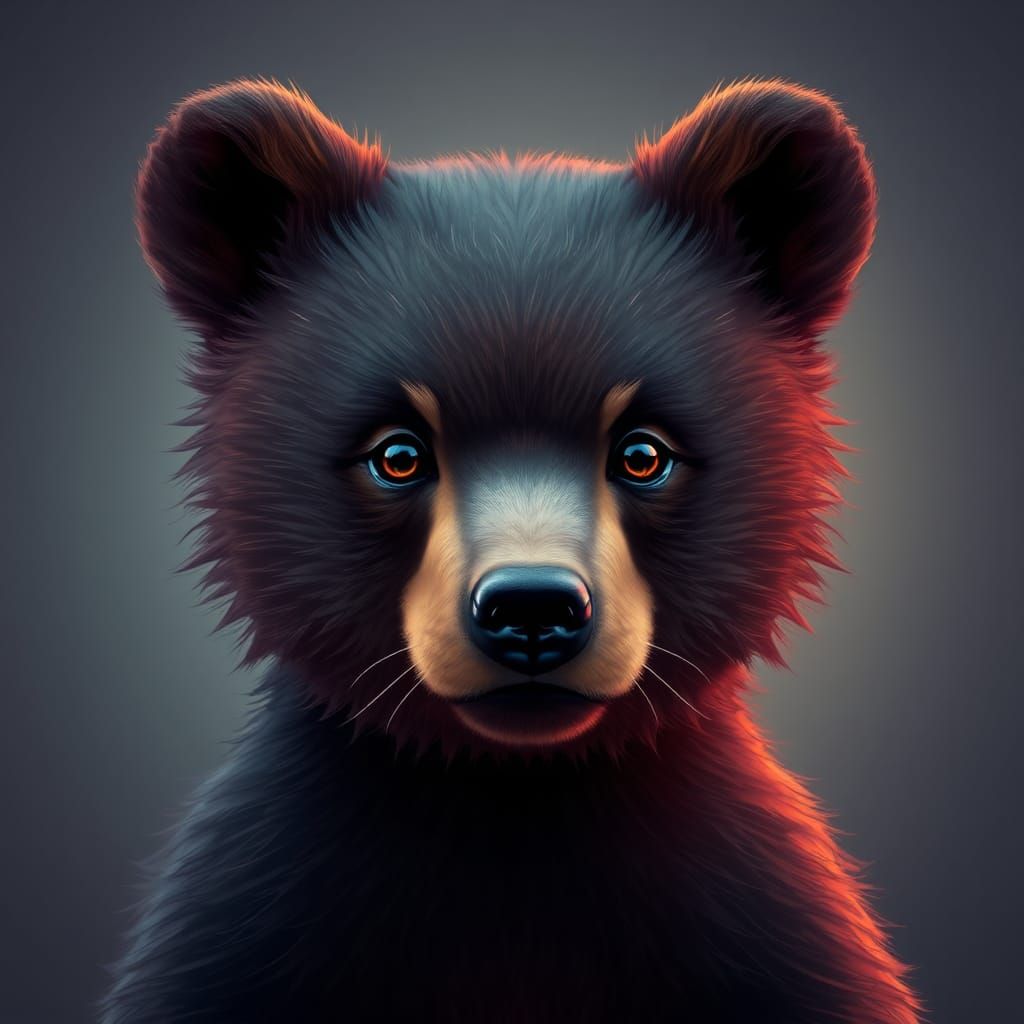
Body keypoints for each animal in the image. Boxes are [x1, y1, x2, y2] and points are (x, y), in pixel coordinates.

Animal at [102, 78, 921, 1022]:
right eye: (398, 453)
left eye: (643, 453)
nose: (533, 610)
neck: (514, 797)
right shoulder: (251, 916)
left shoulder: (765, 933)